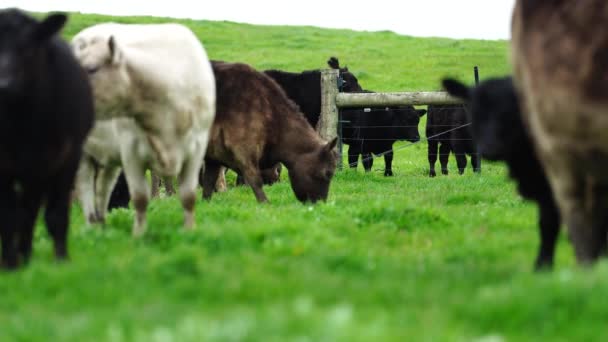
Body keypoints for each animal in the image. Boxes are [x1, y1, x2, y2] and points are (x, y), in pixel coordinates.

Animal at [0, 9, 94, 268]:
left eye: (28, 48)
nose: (4, 86)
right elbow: (9, 215)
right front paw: (10, 264)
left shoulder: (67, 157)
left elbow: (56, 214)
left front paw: (61, 260)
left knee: (31, 210)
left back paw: (27, 253)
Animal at [72, 22, 216, 236]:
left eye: (91, 69)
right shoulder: (130, 151)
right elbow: (140, 198)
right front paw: (138, 235)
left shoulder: (197, 148)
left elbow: (189, 196)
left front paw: (189, 230)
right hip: (84, 150)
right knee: (85, 186)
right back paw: (92, 226)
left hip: (110, 154)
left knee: (103, 187)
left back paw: (103, 225)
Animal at [202, 62, 340, 203]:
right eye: (328, 173)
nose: (320, 203)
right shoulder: (242, 148)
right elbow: (254, 178)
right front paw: (265, 203)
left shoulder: (213, 157)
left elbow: (208, 184)